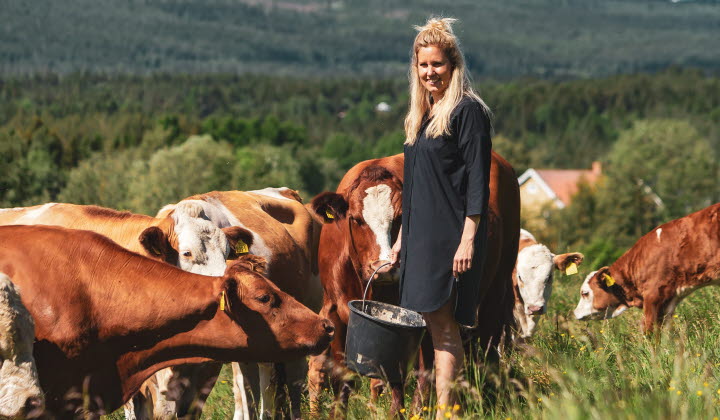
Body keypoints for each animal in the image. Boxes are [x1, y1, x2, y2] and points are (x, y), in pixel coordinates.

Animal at [306, 153, 520, 416]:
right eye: (355, 219)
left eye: (401, 218)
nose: (385, 267)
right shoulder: (335, 311)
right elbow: (342, 377)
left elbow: (403, 375)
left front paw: (398, 414)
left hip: (496, 286)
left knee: (483, 345)